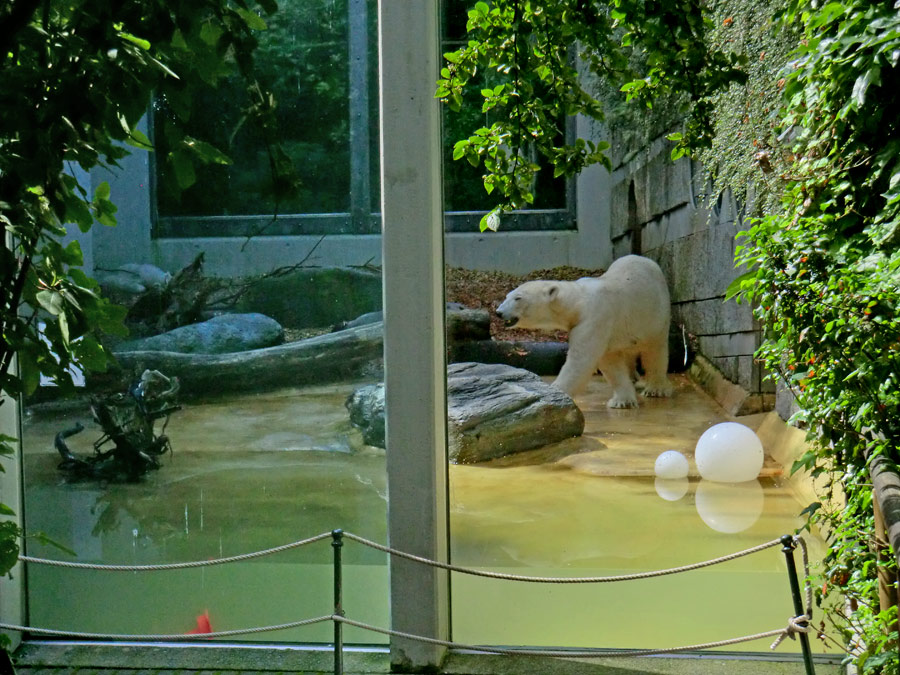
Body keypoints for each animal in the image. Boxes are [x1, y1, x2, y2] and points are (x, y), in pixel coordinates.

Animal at [496, 254, 672, 410]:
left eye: (518, 298)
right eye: (507, 296)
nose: (498, 312)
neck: (578, 301)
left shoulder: (595, 318)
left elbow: (581, 360)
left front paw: (554, 394)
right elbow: (610, 360)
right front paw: (623, 401)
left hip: (656, 315)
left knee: (655, 350)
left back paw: (655, 389)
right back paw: (633, 377)